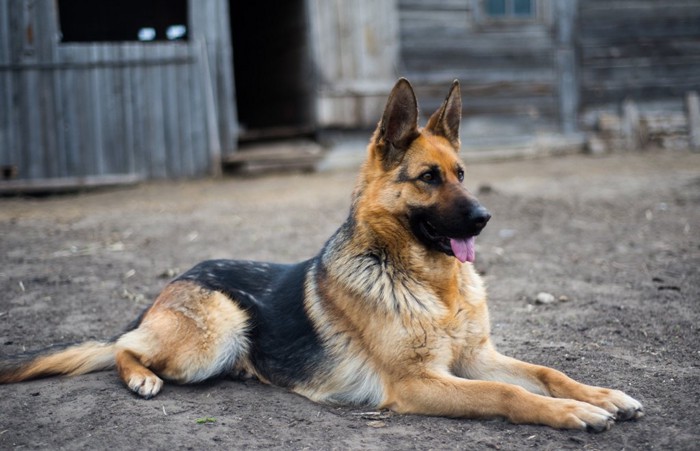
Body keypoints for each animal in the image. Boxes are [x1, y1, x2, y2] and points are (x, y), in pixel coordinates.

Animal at [1, 78, 644, 430]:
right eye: (429, 178)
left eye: (462, 174)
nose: (485, 218)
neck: (432, 286)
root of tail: (176, 279)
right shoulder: (420, 383)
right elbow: (510, 394)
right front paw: (573, 414)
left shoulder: (475, 358)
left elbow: (547, 373)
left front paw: (603, 396)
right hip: (215, 334)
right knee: (123, 347)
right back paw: (141, 378)